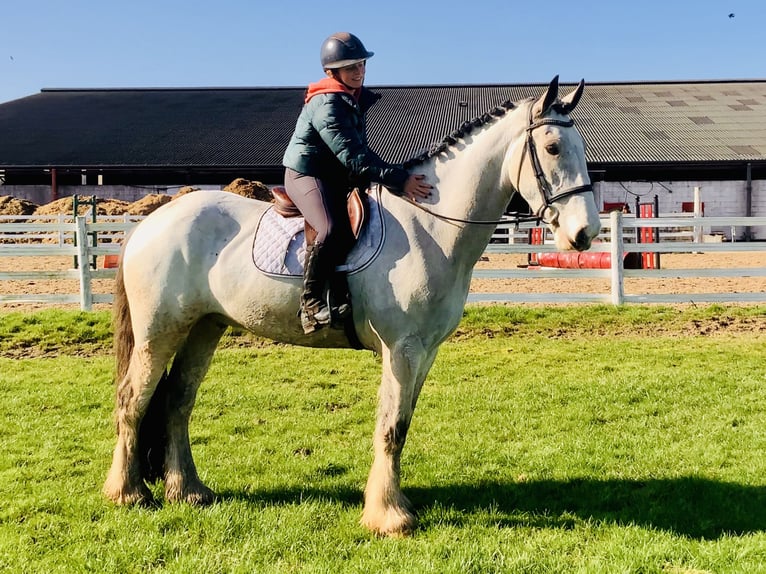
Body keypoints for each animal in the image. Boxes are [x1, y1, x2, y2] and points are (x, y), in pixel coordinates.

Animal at [103, 76, 601, 537]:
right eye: (552, 147)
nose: (585, 234)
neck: (430, 227)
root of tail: (153, 220)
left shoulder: (425, 352)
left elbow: (402, 425)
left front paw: (391, 504)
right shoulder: (402, 350)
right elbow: (391, 427)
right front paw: (389, 516)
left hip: (204, 327)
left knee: (177, 401)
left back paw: (187, 490)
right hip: (158, 333)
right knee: (133, 399)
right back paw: (128, 493)